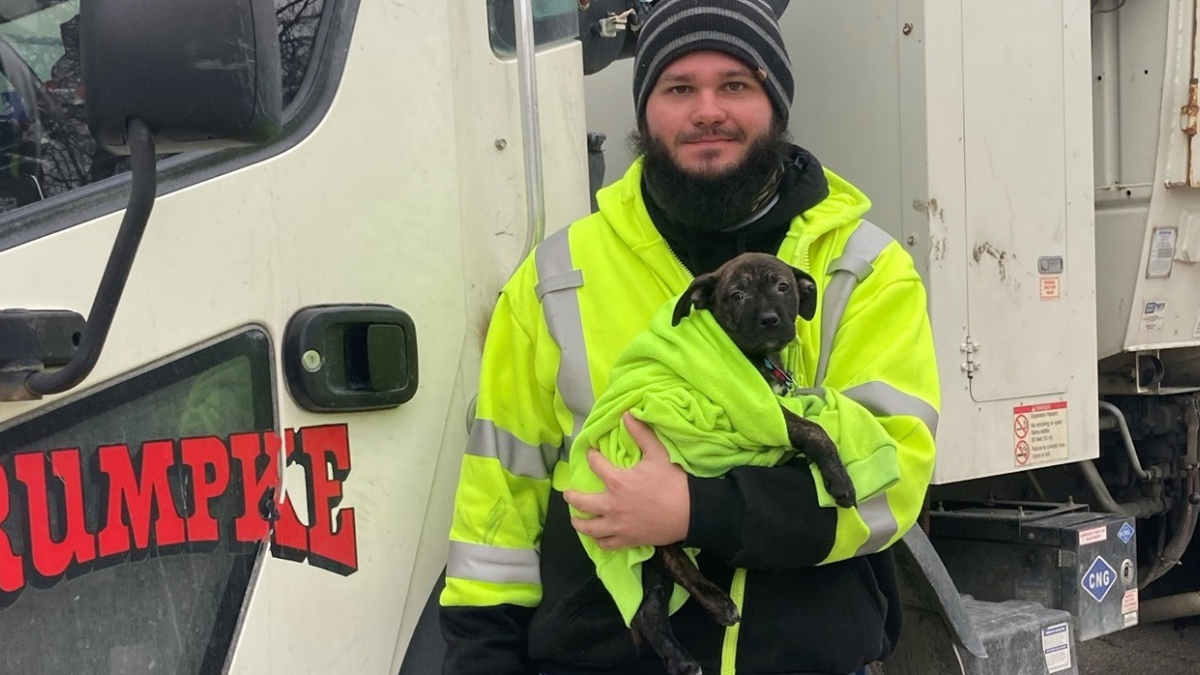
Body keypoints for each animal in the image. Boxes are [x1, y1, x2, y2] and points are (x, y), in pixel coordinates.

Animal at [628, 251, 854, 672]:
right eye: (736, 295)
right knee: (676, 562)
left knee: (650, 607)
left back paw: (681, 660)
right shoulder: (753, 408)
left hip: (651, 571)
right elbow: (812, 429)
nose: (769, 319)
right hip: (656, 523)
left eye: (783, 287)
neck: (756, 359)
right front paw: (840, 480)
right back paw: (718, 603)